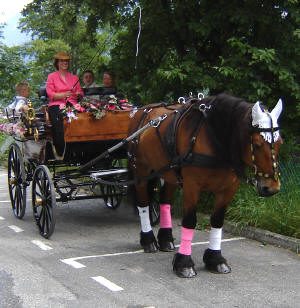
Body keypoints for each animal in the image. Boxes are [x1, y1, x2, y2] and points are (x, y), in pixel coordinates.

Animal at [127, 92, 282, 278]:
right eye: (257, 145)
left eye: (280, 142)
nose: (271, 188)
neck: (214, 139)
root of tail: (143, 109)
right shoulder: (192, 186)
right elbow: (189, 221)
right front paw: (184, 263)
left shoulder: (228, 189)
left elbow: (217, 221)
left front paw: (215, 259)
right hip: (141, 170)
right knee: (143, 203)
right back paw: (148, 240)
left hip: (170, 172)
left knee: (165, 202)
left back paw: (165, 239)